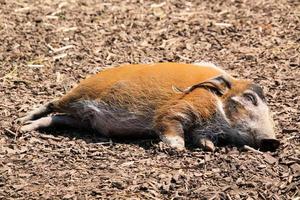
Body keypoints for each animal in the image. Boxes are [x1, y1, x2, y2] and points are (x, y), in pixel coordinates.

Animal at [17, 62, 280, 152]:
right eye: (249, 98)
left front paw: (209, 147)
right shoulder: (179, 109)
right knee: (52, 104)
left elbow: (202, 138)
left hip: (81, 120)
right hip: (77, 97)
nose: (274, 141)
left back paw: (25, 128)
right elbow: (169, 124)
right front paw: (177, 148)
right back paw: (20, 124)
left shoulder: (202, 128)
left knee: (57, 118)